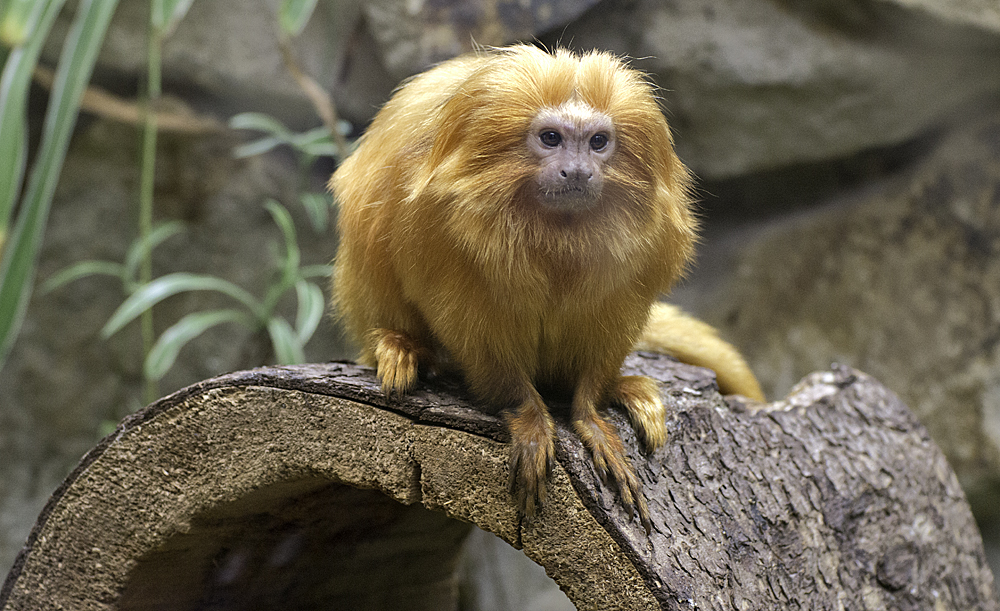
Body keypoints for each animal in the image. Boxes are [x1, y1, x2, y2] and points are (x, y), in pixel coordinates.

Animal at [332, 43, 760, 532]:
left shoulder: (644, 251)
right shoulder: (435, 228)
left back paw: (625, 387)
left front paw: (589, 415)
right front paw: (530, 418)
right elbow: (475, 332)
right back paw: (403, 346)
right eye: (551, 138)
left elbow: (605, 330)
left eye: (598, 142)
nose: (576, 171)